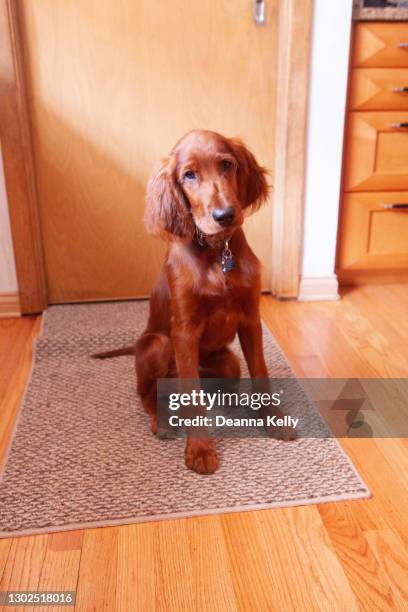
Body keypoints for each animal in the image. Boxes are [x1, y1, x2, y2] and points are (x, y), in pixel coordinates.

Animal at [94, 128, 286, 474]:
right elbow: (192, 397)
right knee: (146, 393)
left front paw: (273, 419)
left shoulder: (251, 319)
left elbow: (260, 374)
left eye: (227, 164)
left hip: (227, 363)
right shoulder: (184, 330)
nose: (225, 215)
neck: (217, 252)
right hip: (157, 344)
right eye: (189, 175)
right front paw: (200, 450)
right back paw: (162, 421)